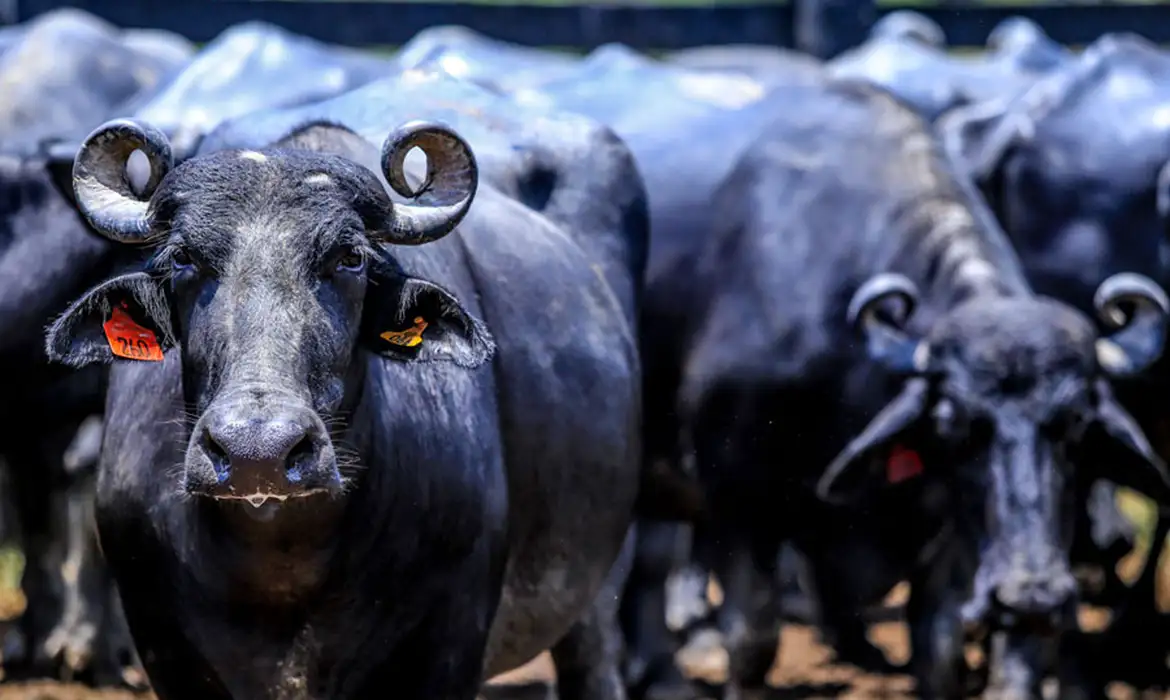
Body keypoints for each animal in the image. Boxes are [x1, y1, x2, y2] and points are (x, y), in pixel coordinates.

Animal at [650, 76, 1170, 700]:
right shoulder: (737, 492)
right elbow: (754, 637)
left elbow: (940, 648)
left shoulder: (946, 527)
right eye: (952, 422)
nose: (1032, 596)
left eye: (1075, 425)